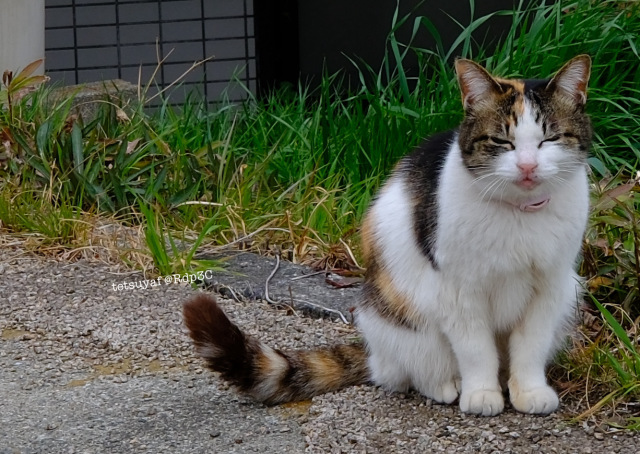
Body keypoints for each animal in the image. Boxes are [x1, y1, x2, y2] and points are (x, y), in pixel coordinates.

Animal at [182, 55, 592, 414]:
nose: (527, 166)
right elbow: (476, 349)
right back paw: (448, 385)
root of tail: (375, 352)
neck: (520, 214)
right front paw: (481, 393)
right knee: (411, 371)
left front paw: (530, 391)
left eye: (549, 140)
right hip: (405, 312)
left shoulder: (550, 286)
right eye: (502, 141)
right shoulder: (459, 291)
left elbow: (531, 346)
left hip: (570, 291)